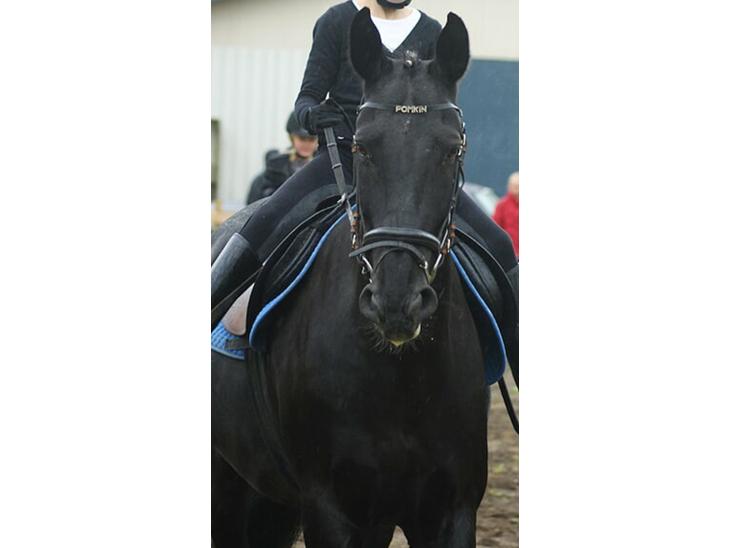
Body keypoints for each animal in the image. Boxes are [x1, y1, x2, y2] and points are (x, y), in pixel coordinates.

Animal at [213, 10, 495, 547]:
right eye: (361, 147)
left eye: (452, 150)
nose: (397, 303)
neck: (403, 377)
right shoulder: (332, 510)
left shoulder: (450, 511)